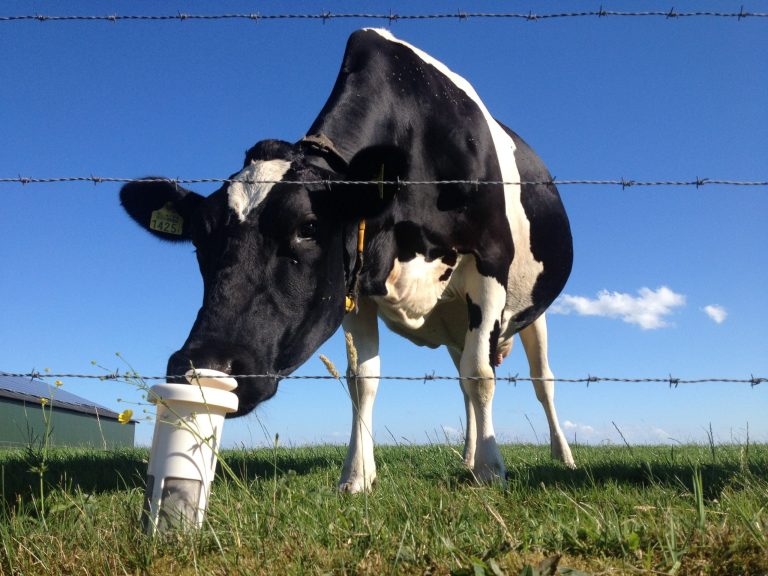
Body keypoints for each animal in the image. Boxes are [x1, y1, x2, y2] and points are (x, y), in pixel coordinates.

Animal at [120, 28, 575, 492]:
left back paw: (560, 455)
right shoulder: (356, 283)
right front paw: (357, 476)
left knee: (540, 381)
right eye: (200, 240)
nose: (201, 366)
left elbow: (481, 376)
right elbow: (363, 381)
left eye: (308, 227)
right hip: (455, 319)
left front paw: (491, 470)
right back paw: (466, 454)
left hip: (530, 313)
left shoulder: (489, 263)